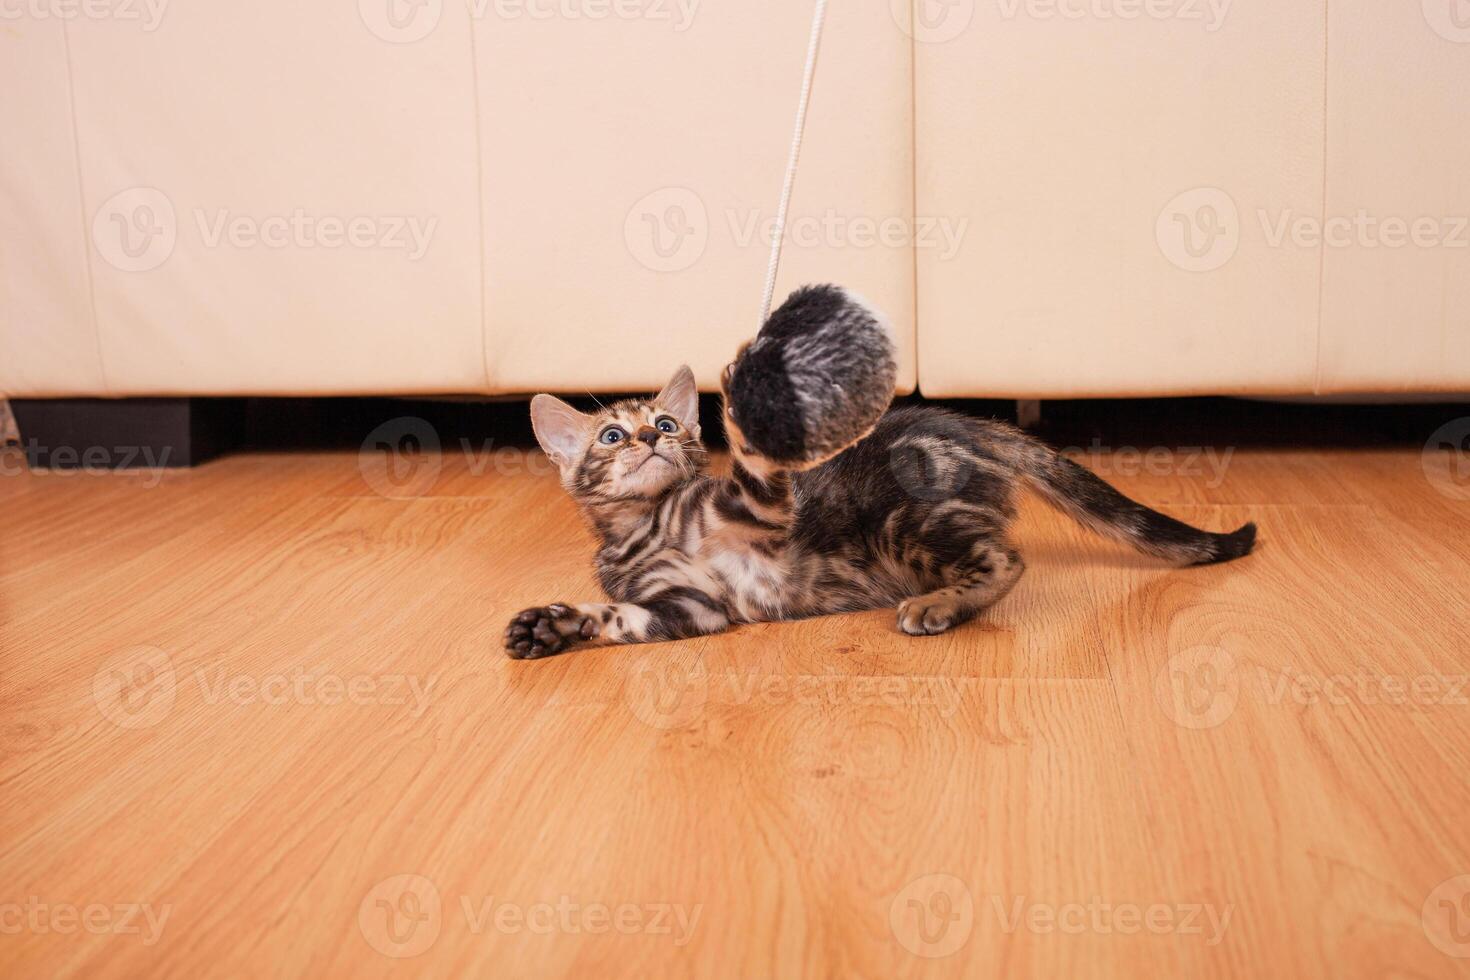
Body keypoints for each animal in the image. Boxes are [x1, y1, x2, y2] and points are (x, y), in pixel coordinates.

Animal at [502, 362, 1252, 658]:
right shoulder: (688, 605)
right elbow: (616, 617)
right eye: (611, 436)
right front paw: (552, 626)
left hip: (901, 521)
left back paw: (939, 605)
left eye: (666, 423)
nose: (652, 438)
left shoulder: (758, 516)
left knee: (1006, 559)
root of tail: (975, 426)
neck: (651, 525)